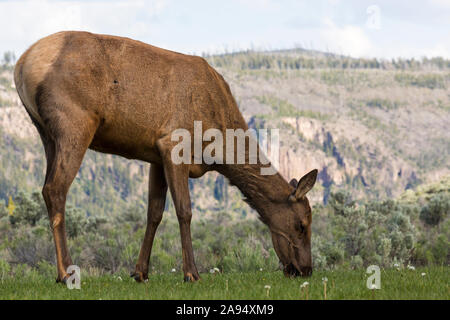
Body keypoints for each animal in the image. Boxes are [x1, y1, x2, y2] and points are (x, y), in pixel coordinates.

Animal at [13, 31, 316, 282]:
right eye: (302, 224)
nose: (306, 269)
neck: (217, 147)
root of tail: (21, 64)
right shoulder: (173, 145)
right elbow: (184, 210)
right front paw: (191, 273)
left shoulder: (156, 155)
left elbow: (154, 213)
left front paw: (140, 272)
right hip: (74, 123)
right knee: (55, 189)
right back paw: (66, 272)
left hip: (45, 132)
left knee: (47, 187)